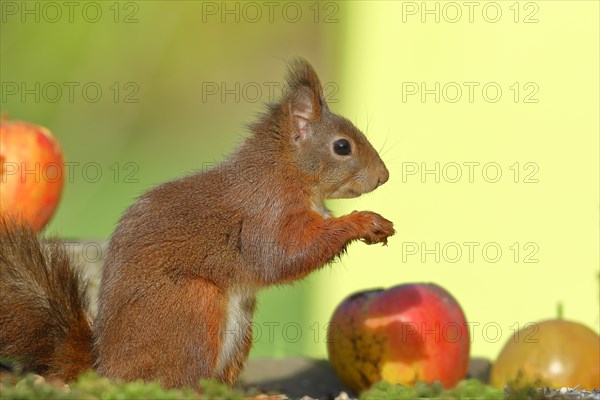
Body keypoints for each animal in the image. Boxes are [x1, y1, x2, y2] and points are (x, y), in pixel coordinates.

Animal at [0, 57, 394, 390]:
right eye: (342, 147)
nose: (384, 177)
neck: (286, 172)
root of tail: (109, 370)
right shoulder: (265, 214)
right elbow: (284, 257)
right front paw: (362, 222)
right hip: (191, 308)